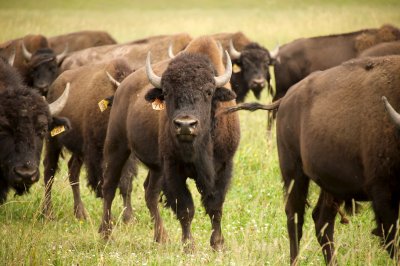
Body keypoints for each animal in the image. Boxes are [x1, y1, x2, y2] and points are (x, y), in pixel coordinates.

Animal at [42, 57, 136, 220]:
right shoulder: (96, 154)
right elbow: (103, 183)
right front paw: (110, 217)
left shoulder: (126, 157)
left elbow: (126, 183)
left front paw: (128, 218)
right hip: (53, 142)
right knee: (49, 172)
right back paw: (49, 213)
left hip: (78, 150)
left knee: (72, 172)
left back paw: (80, 213)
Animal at [99, 35, 241, 251]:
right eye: (166, 92)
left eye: (209, 92)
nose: (185, 124)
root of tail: (122, 87)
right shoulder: (174, 169)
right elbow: (185, 209)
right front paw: (189, 246)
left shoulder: (223, 167)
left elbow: (215, 206)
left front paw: (218, 245)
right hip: (117, 146)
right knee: (109, 186)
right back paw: (106, 235)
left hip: (156, 167)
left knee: (149, 192)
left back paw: (161, 238)